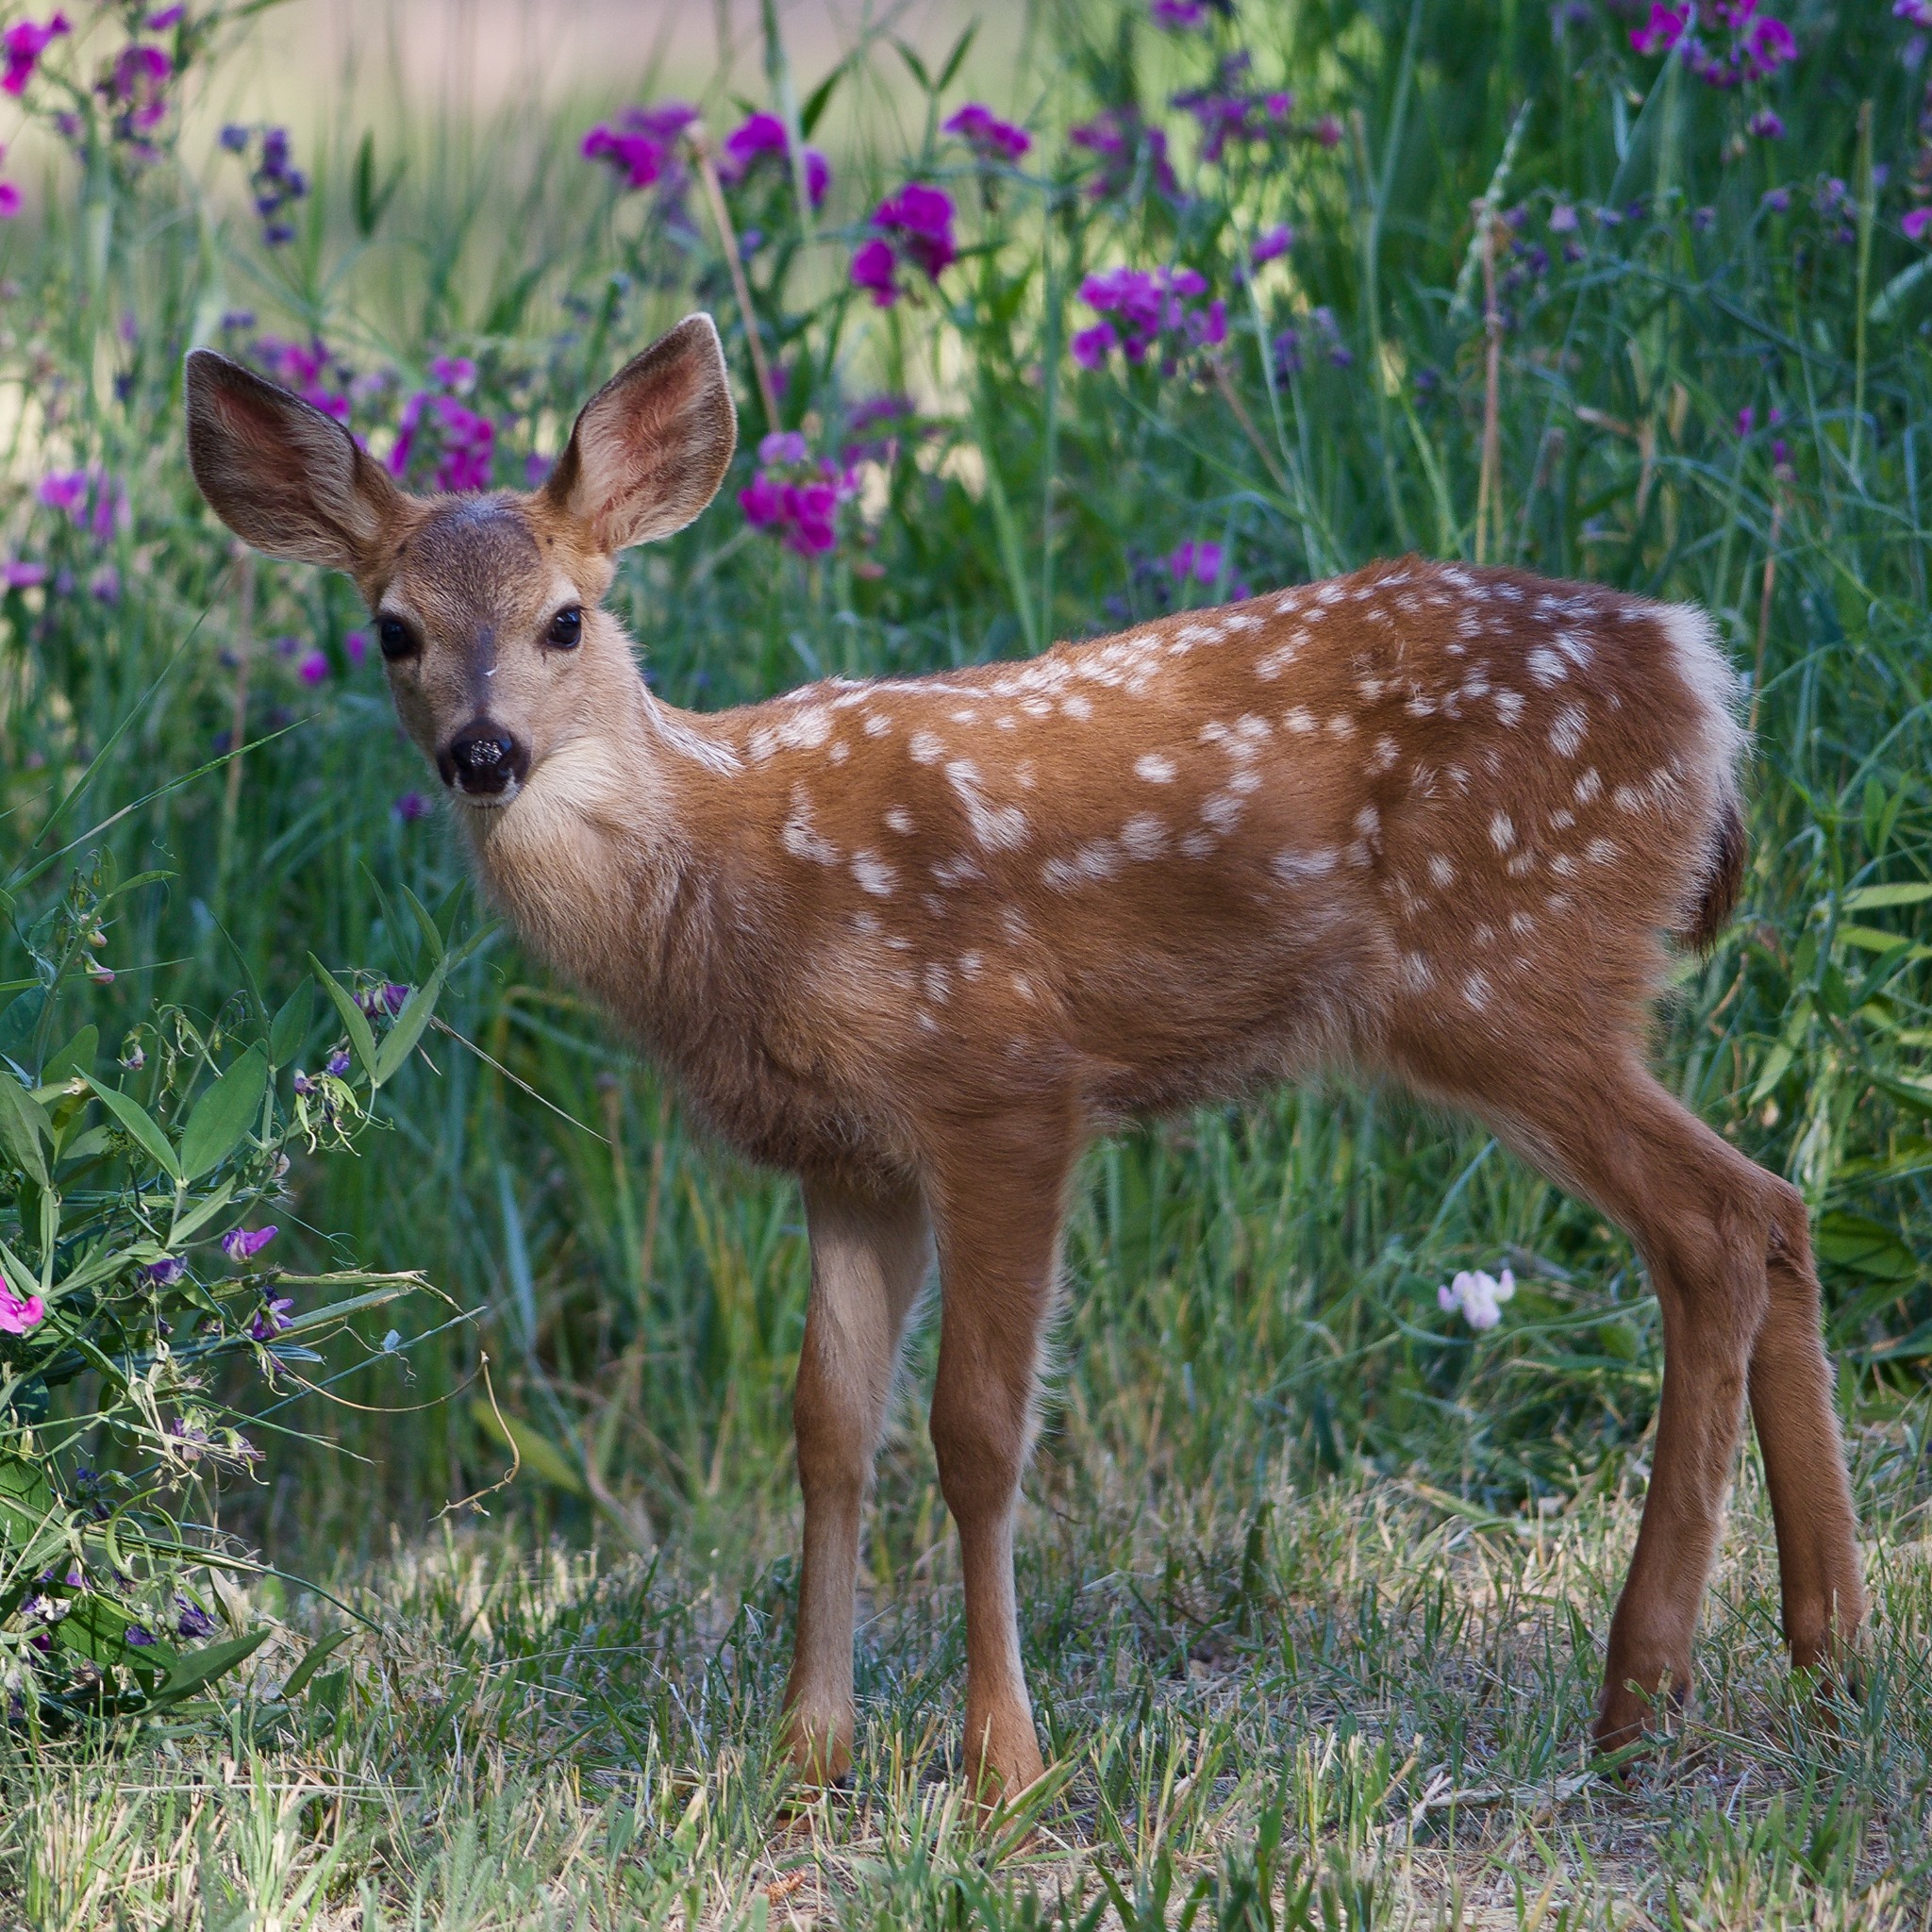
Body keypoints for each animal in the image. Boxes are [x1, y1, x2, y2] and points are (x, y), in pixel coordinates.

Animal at [188, 312, 1862, 1792]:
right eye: (393, 630)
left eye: (565, 618)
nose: (484, 753)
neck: (735, 882)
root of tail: (1702, 677)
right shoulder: (850, 1158)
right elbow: (828, 1431)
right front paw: (806, 1757)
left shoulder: (1001, 1080)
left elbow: (977, 1431)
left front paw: (1002, 1765)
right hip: (1546, 993)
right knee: (1780, 1210)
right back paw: (1828, 1654)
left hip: (1509, 976)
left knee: (1718, 1223)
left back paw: (1643, 1692)